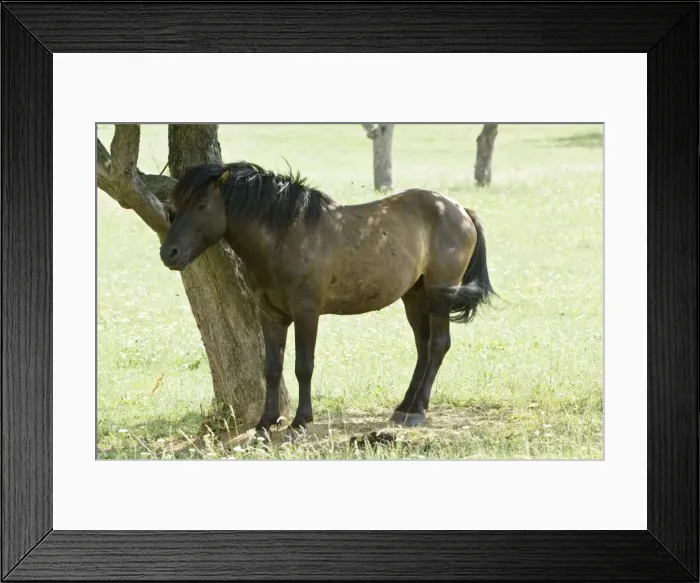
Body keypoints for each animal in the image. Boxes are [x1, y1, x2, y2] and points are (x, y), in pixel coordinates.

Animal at [160, 161, 495, 440]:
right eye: (174, 206)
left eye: (202, 205)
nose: (169, 253)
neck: (286, 237)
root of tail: (460, 210)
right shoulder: (271, 315)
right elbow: (272, 368)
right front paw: (265, 424)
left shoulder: (307, 313)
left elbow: (303, 366)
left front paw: (299, 423)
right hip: (414, 297)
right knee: (423, 348)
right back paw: (405, 407)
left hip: (440, 294)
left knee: (438, 345)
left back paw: (418, 411)